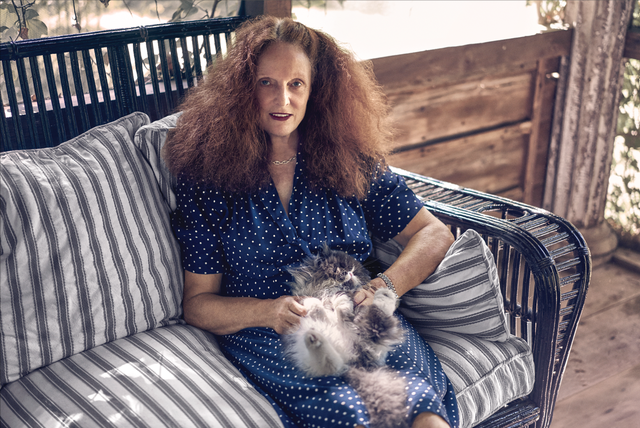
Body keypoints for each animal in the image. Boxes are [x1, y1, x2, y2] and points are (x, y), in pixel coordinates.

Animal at [282, 244, 410, 428]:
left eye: (354, 271)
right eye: (339, 268)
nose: (349, 272)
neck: (329, 289)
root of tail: (356, 359)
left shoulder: (347, 300)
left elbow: (341, 306)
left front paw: (341, 308)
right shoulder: (310, 297)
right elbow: (315, 305)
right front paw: (318, 307)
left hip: (367, 332)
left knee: (377, 319)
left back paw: (385, 295)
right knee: (331, 364)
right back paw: (314, 339)